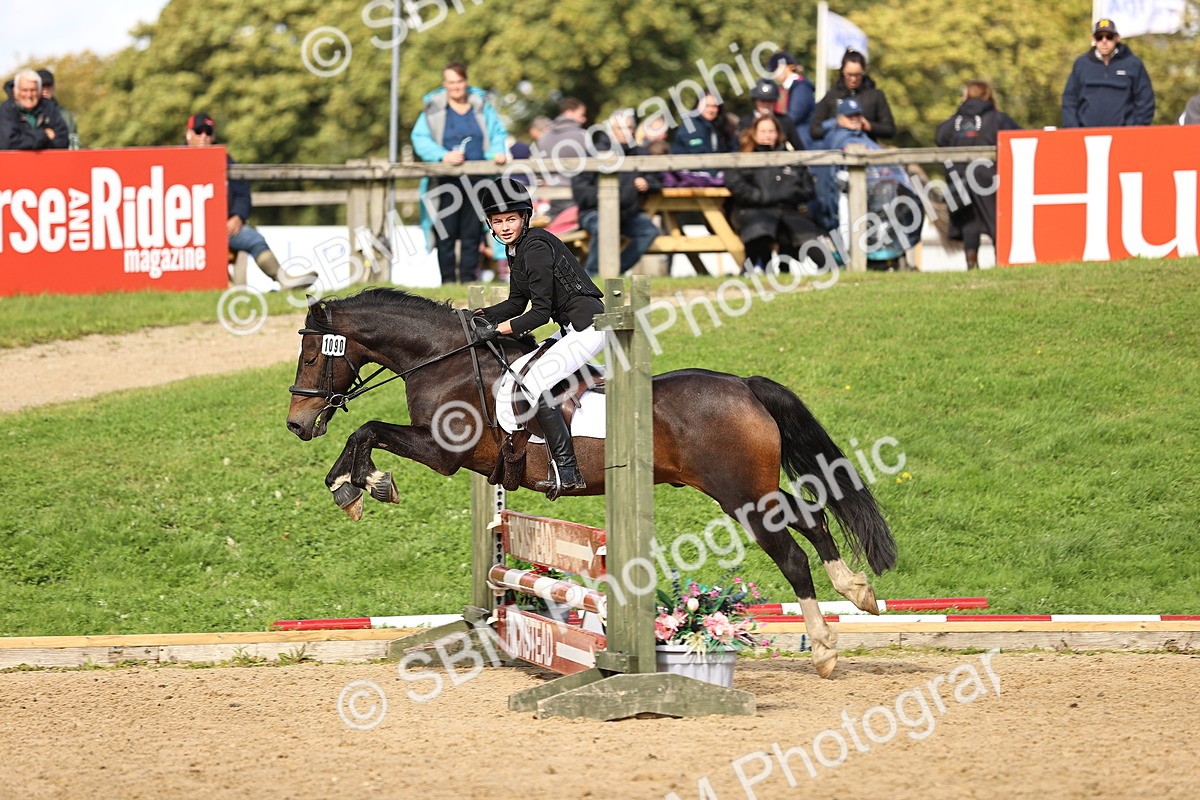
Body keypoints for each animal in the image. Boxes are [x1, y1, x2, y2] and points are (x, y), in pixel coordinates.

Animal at [286, 288, 896, 677]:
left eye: (313, 355)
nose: (296, 424)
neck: (444, 362)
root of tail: (744, 385)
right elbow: (366, 433)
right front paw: (356, 485)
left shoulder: (444, 453)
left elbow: (367, 430)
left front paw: (361, 487)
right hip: (749, 489)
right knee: (812, 517)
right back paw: (856, 591)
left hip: (741, 495)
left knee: (791, 553)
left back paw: (825, 650)